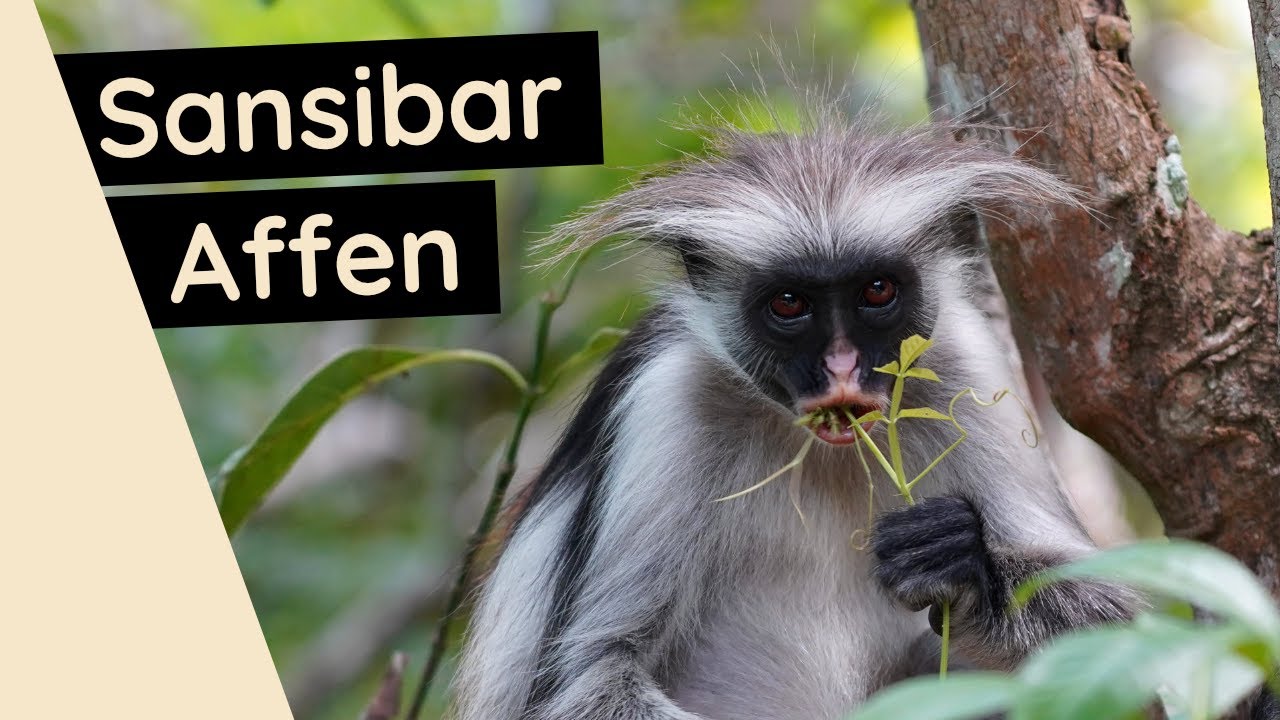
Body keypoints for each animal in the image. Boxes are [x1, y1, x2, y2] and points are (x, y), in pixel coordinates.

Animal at [449, 107, 1149, 720]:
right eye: (789, 303)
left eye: (876, 291)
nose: (841, 369)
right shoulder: (663, 401)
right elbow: (590, 679)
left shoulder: (967, 362)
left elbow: (1125, 618)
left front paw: (962, 557)